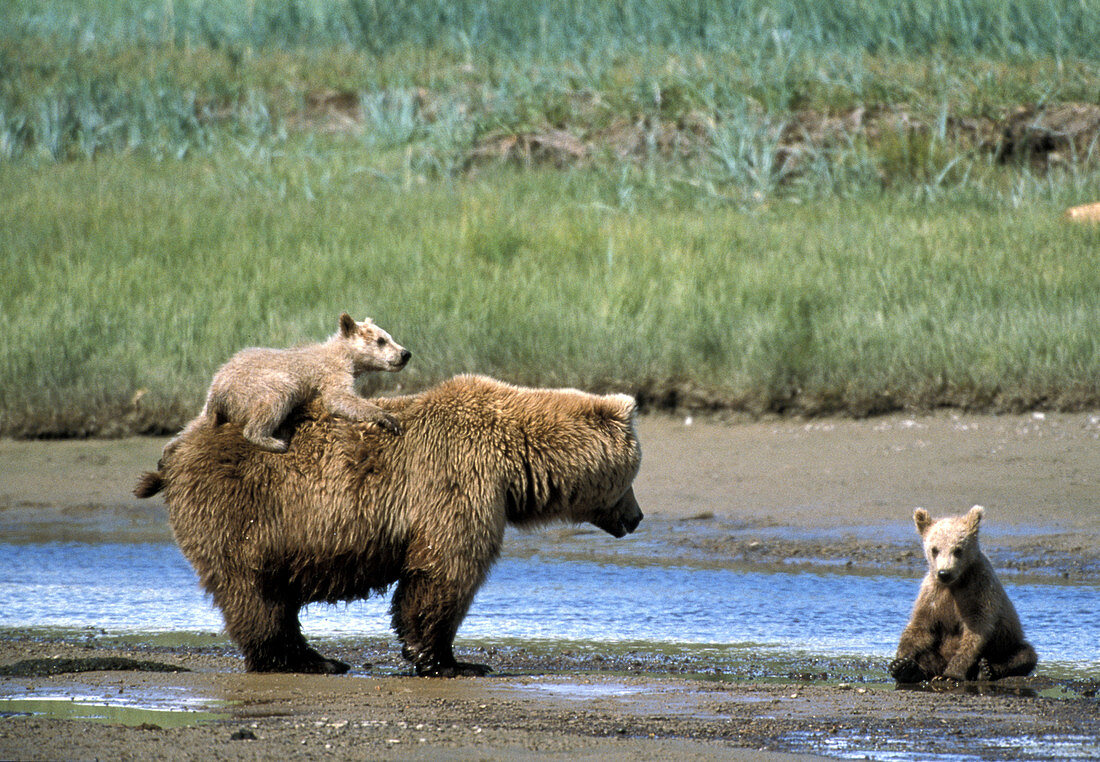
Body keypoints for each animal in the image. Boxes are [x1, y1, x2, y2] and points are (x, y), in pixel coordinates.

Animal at [135, 371, 642, 672]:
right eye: (633, 473)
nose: (637, 517)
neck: (514, 460)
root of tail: (173, 451)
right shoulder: (457, 479)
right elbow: (445, 570)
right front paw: (450, 660)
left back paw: (318, 658)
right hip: (243, 509)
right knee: (254, 593)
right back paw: (303, 660)